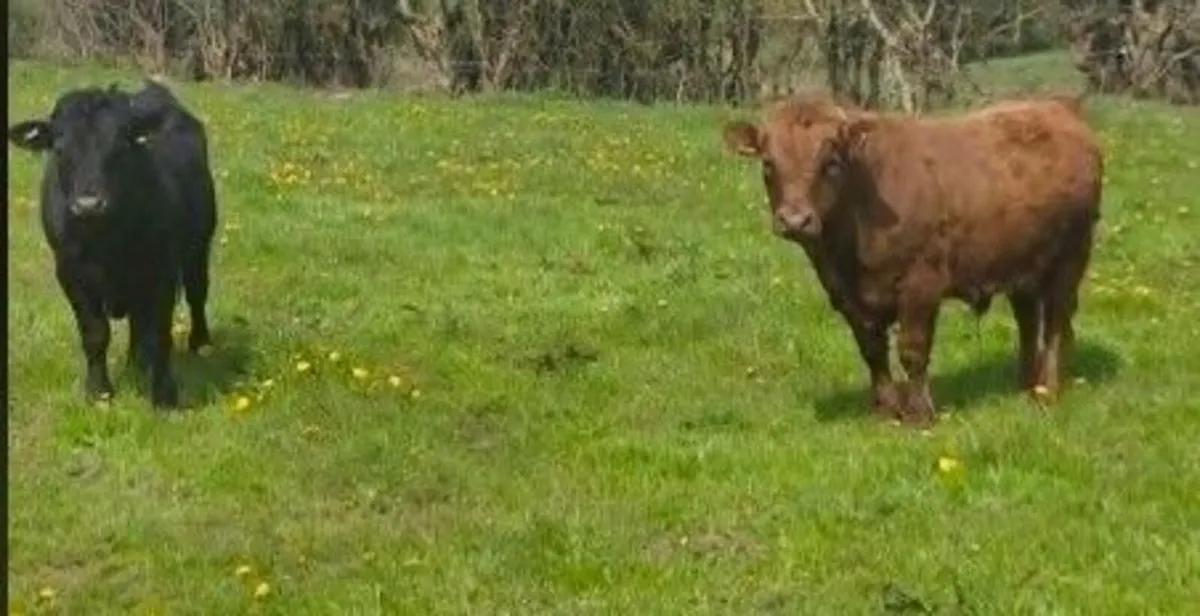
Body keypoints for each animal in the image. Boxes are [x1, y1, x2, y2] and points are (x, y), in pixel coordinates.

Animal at [7, 80, 218, 409]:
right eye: (59, 149)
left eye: (121, 146)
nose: (88, 205)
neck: (106, 239)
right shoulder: (71, 272)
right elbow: (95, 333)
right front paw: (99, 392)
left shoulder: (161, 268)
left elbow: (159, 332)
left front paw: (164, 396)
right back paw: (137, 363)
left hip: (199, 243)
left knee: (197, 292)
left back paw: (200, 343)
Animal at [721, 93, 1103, 425]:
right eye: (768, 164)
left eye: (830, 163)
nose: (795, 220)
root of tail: (1057, 106)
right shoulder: (846, 296)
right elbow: (872, 352)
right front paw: (885, 410)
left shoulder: (921, 286)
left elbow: (912, 350)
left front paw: (919, 413)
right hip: (1021, 265)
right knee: (1028, 319)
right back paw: (1027, 384)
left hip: (1071, 257)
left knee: (1055, 321)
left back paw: (1047, 389)